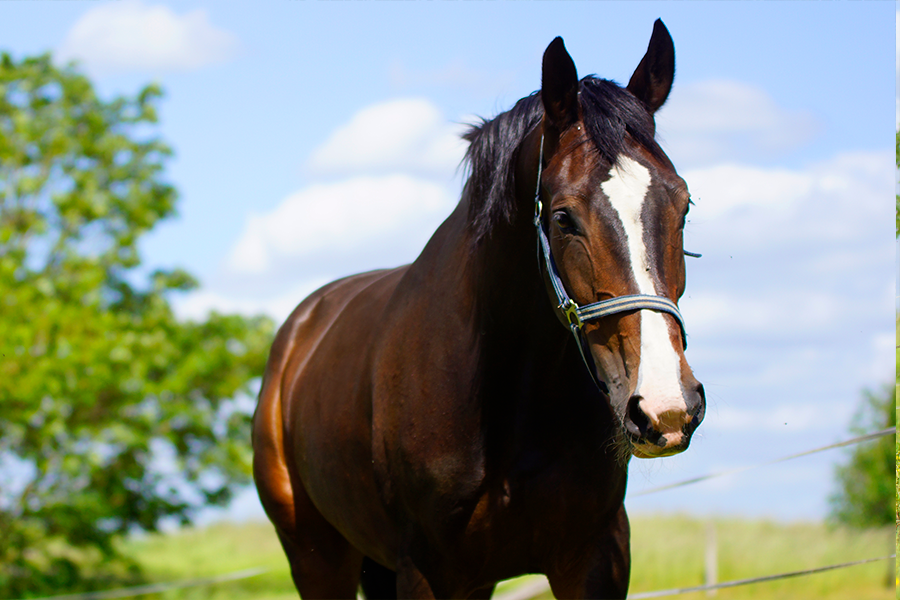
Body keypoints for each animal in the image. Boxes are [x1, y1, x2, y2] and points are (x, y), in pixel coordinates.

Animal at [251, 19, 704, 600]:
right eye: (563, 217)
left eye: (683, 205)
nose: (666, 408)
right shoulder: (428, 570)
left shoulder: (595, 553)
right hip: (318, 556)